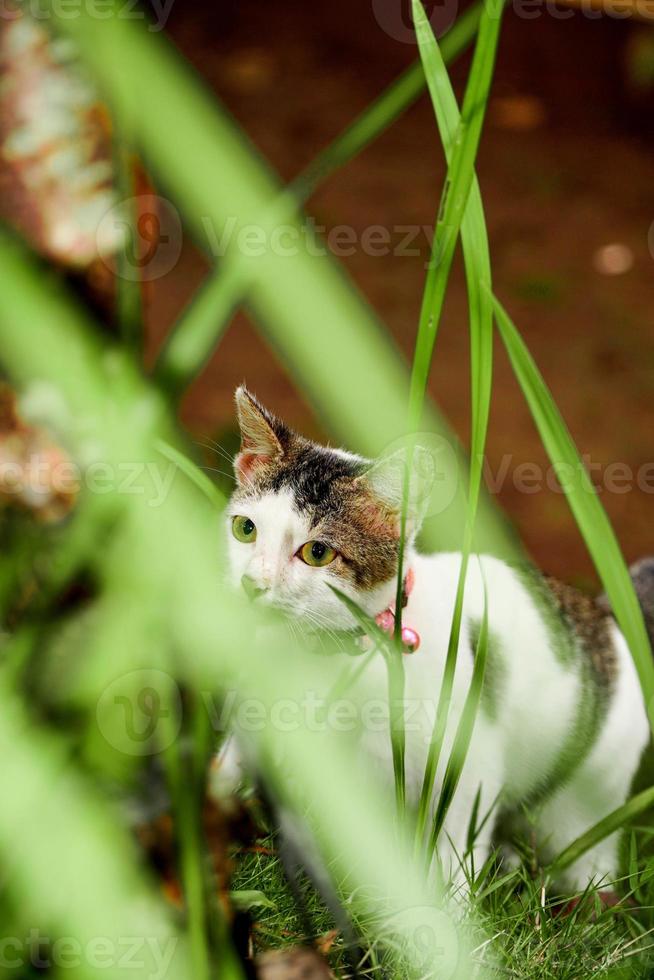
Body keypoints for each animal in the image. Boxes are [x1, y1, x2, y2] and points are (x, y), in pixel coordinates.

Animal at [218, 386, 652, 892]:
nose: (253, 585)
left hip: (587, 801)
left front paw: (451, 907)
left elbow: (454, 846)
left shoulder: (465, 761)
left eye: (317, 552)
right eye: (245, 529)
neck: (318, 655)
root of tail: (607, 619)